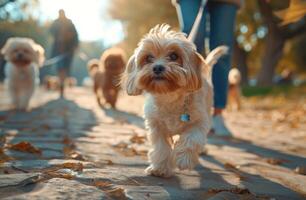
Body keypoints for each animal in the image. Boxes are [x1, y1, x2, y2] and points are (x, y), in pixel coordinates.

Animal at [121, 24, 227, 177]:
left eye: (174, 56)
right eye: (149, 58)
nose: (158, 67)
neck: (169, 97)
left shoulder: (199, 123)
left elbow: (191, 139)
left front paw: (183, 159)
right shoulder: (156, 127)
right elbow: (161, 148)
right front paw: (160, 168)